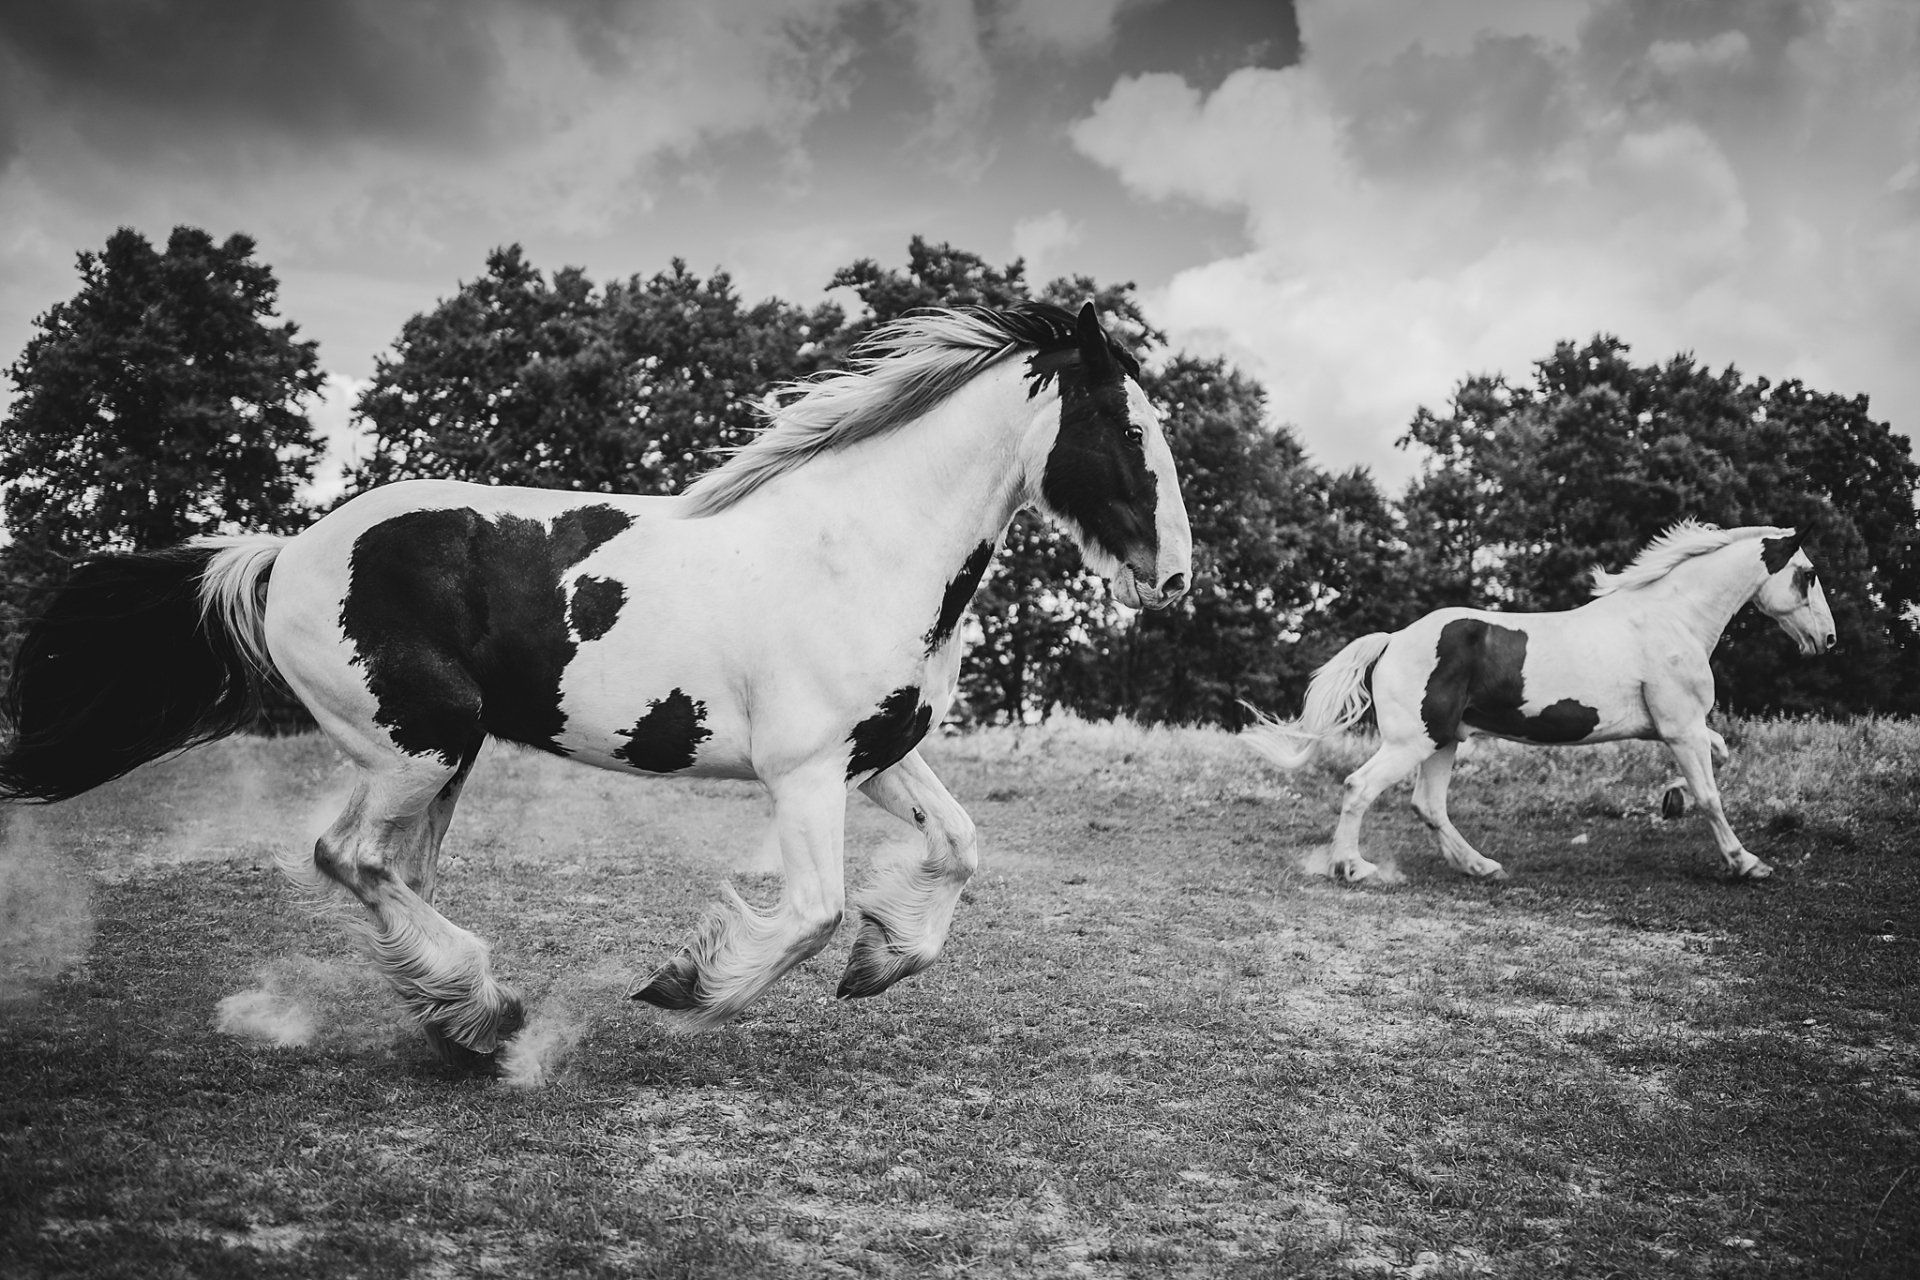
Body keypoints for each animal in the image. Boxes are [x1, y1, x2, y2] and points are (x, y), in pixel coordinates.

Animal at [0, 301, 1192, 1067]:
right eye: (1126, 425)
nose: (1177, 573)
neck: (856, 547)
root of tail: (286, 551)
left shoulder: (875, 755)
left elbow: (959, 850)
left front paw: (880, 960)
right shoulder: (803, 772)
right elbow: (810, 911)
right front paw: (687, 985)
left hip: (443, 759)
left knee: (398, 872)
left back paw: (461, 1025)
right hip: (417, 743)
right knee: (351, 857)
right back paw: (484, 1013)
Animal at [1241, 522, 1834, 883]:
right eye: (1808, 575)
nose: (1827, 641)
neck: (1672, 618)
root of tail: (1394, 639)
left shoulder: (1678, 728)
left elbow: (1721, 754)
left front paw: (1671, 799)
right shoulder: (1681, 727)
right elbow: (1712, 795)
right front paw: (1747, 863)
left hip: (1442, 743)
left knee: (1428, 806)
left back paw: (1481, 867)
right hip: (1412, 742)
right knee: (1359, 787)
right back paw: (1354, 868)